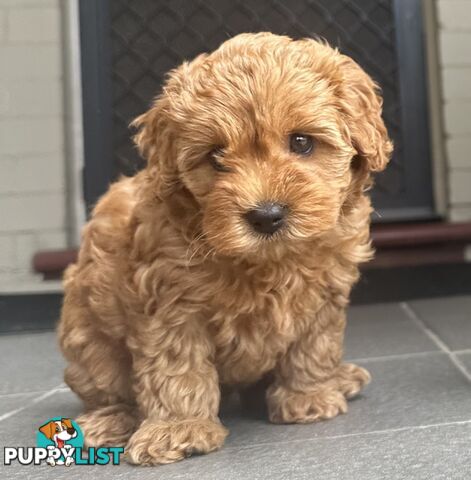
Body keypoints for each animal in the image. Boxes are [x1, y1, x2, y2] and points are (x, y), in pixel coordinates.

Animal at [58, 32, 390, 464]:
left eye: (301, 142)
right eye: (215, 156)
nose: (266, 215)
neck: (270, 262)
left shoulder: (325, 292)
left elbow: (314, 345)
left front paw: (309, 395)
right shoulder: (170, 304)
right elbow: (177, 367)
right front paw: (178, 428)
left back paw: (340, 377)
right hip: (87, 339)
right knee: (108, 390)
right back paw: (107, 421)